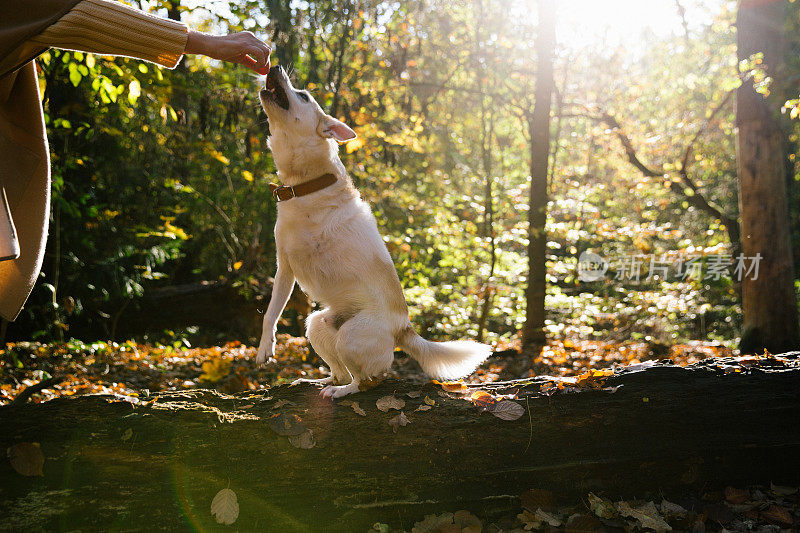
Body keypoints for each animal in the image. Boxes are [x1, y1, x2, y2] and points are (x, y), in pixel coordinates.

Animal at [256, 65, 494, 394]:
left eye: (303, 96)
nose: (276, 66)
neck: (305, 186)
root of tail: (403, 328)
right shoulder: (285, 268)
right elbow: (270, 312)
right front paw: (264, 347)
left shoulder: (291, 265)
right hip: (317, 325)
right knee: (341, 370)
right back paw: (320, 380)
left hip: (350, 336)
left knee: (364, 381)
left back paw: (340, 391)